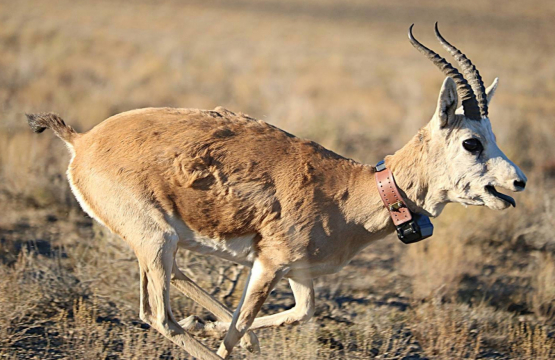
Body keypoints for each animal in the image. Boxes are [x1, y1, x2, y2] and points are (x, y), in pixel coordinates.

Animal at [26, 23, 528, 358]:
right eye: (472, 141)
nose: (517, 183)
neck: (348, 194)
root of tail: (82, 140)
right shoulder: (269, 264)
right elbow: (240, 326)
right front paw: (226, 334)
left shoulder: (299, 273)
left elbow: (300, 313)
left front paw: (220, 328)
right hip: (157, 238)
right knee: (158, 315)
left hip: (162, 240)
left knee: (179, 281)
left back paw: (203, 320)